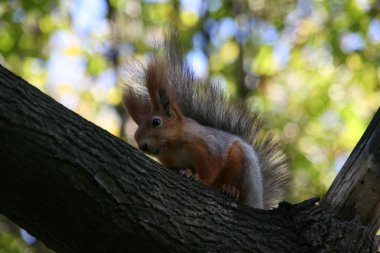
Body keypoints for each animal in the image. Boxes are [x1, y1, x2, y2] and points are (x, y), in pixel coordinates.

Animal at [123, 32, 290, 210]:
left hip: (242, 164)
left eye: (156, 122)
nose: (142, 145)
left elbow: (211, 167)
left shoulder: (206, 146)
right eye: (136, 133)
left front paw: (196, 177)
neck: (173, 148)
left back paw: (230, 189)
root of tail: (258, 201)